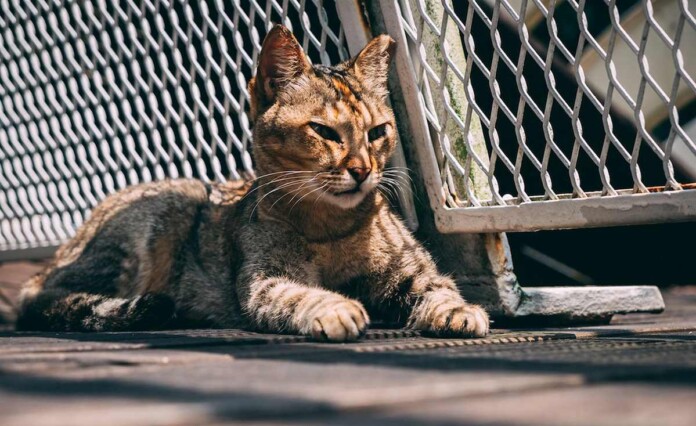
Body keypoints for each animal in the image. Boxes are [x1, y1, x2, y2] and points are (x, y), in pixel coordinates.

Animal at [16, 25, 489, 341]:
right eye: (324, 131)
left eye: (377, 132)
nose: (361, 169)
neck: (330, 228)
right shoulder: (265, 280)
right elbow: (296, 295)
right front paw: (334, 307)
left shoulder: (412, 271)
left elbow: (439, 288)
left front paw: (458, 311)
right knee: (43, 299)